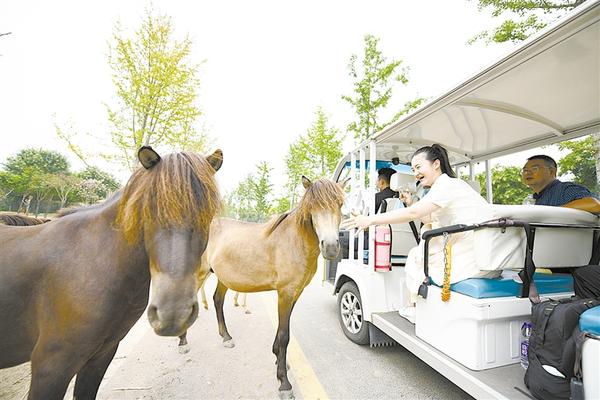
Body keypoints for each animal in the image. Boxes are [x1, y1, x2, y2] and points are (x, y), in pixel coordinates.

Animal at [0, 147, 223, 400]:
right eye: (148, 209)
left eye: (208, 214)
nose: (173, 315)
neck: (94, 260)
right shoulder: (51, 367)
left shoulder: (101, 355)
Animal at [180, 178, 344, 400]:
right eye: (313, 207)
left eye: (340, 205)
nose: (331, 247)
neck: (294, 241)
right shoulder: (285, 293)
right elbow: (284, 335)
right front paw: (284, 382)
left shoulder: (294, 293)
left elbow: (282, 329)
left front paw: (277, 359)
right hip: (199, 274)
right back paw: (182, 342)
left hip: (223, 278)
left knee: (217, 300)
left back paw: (226, 337)